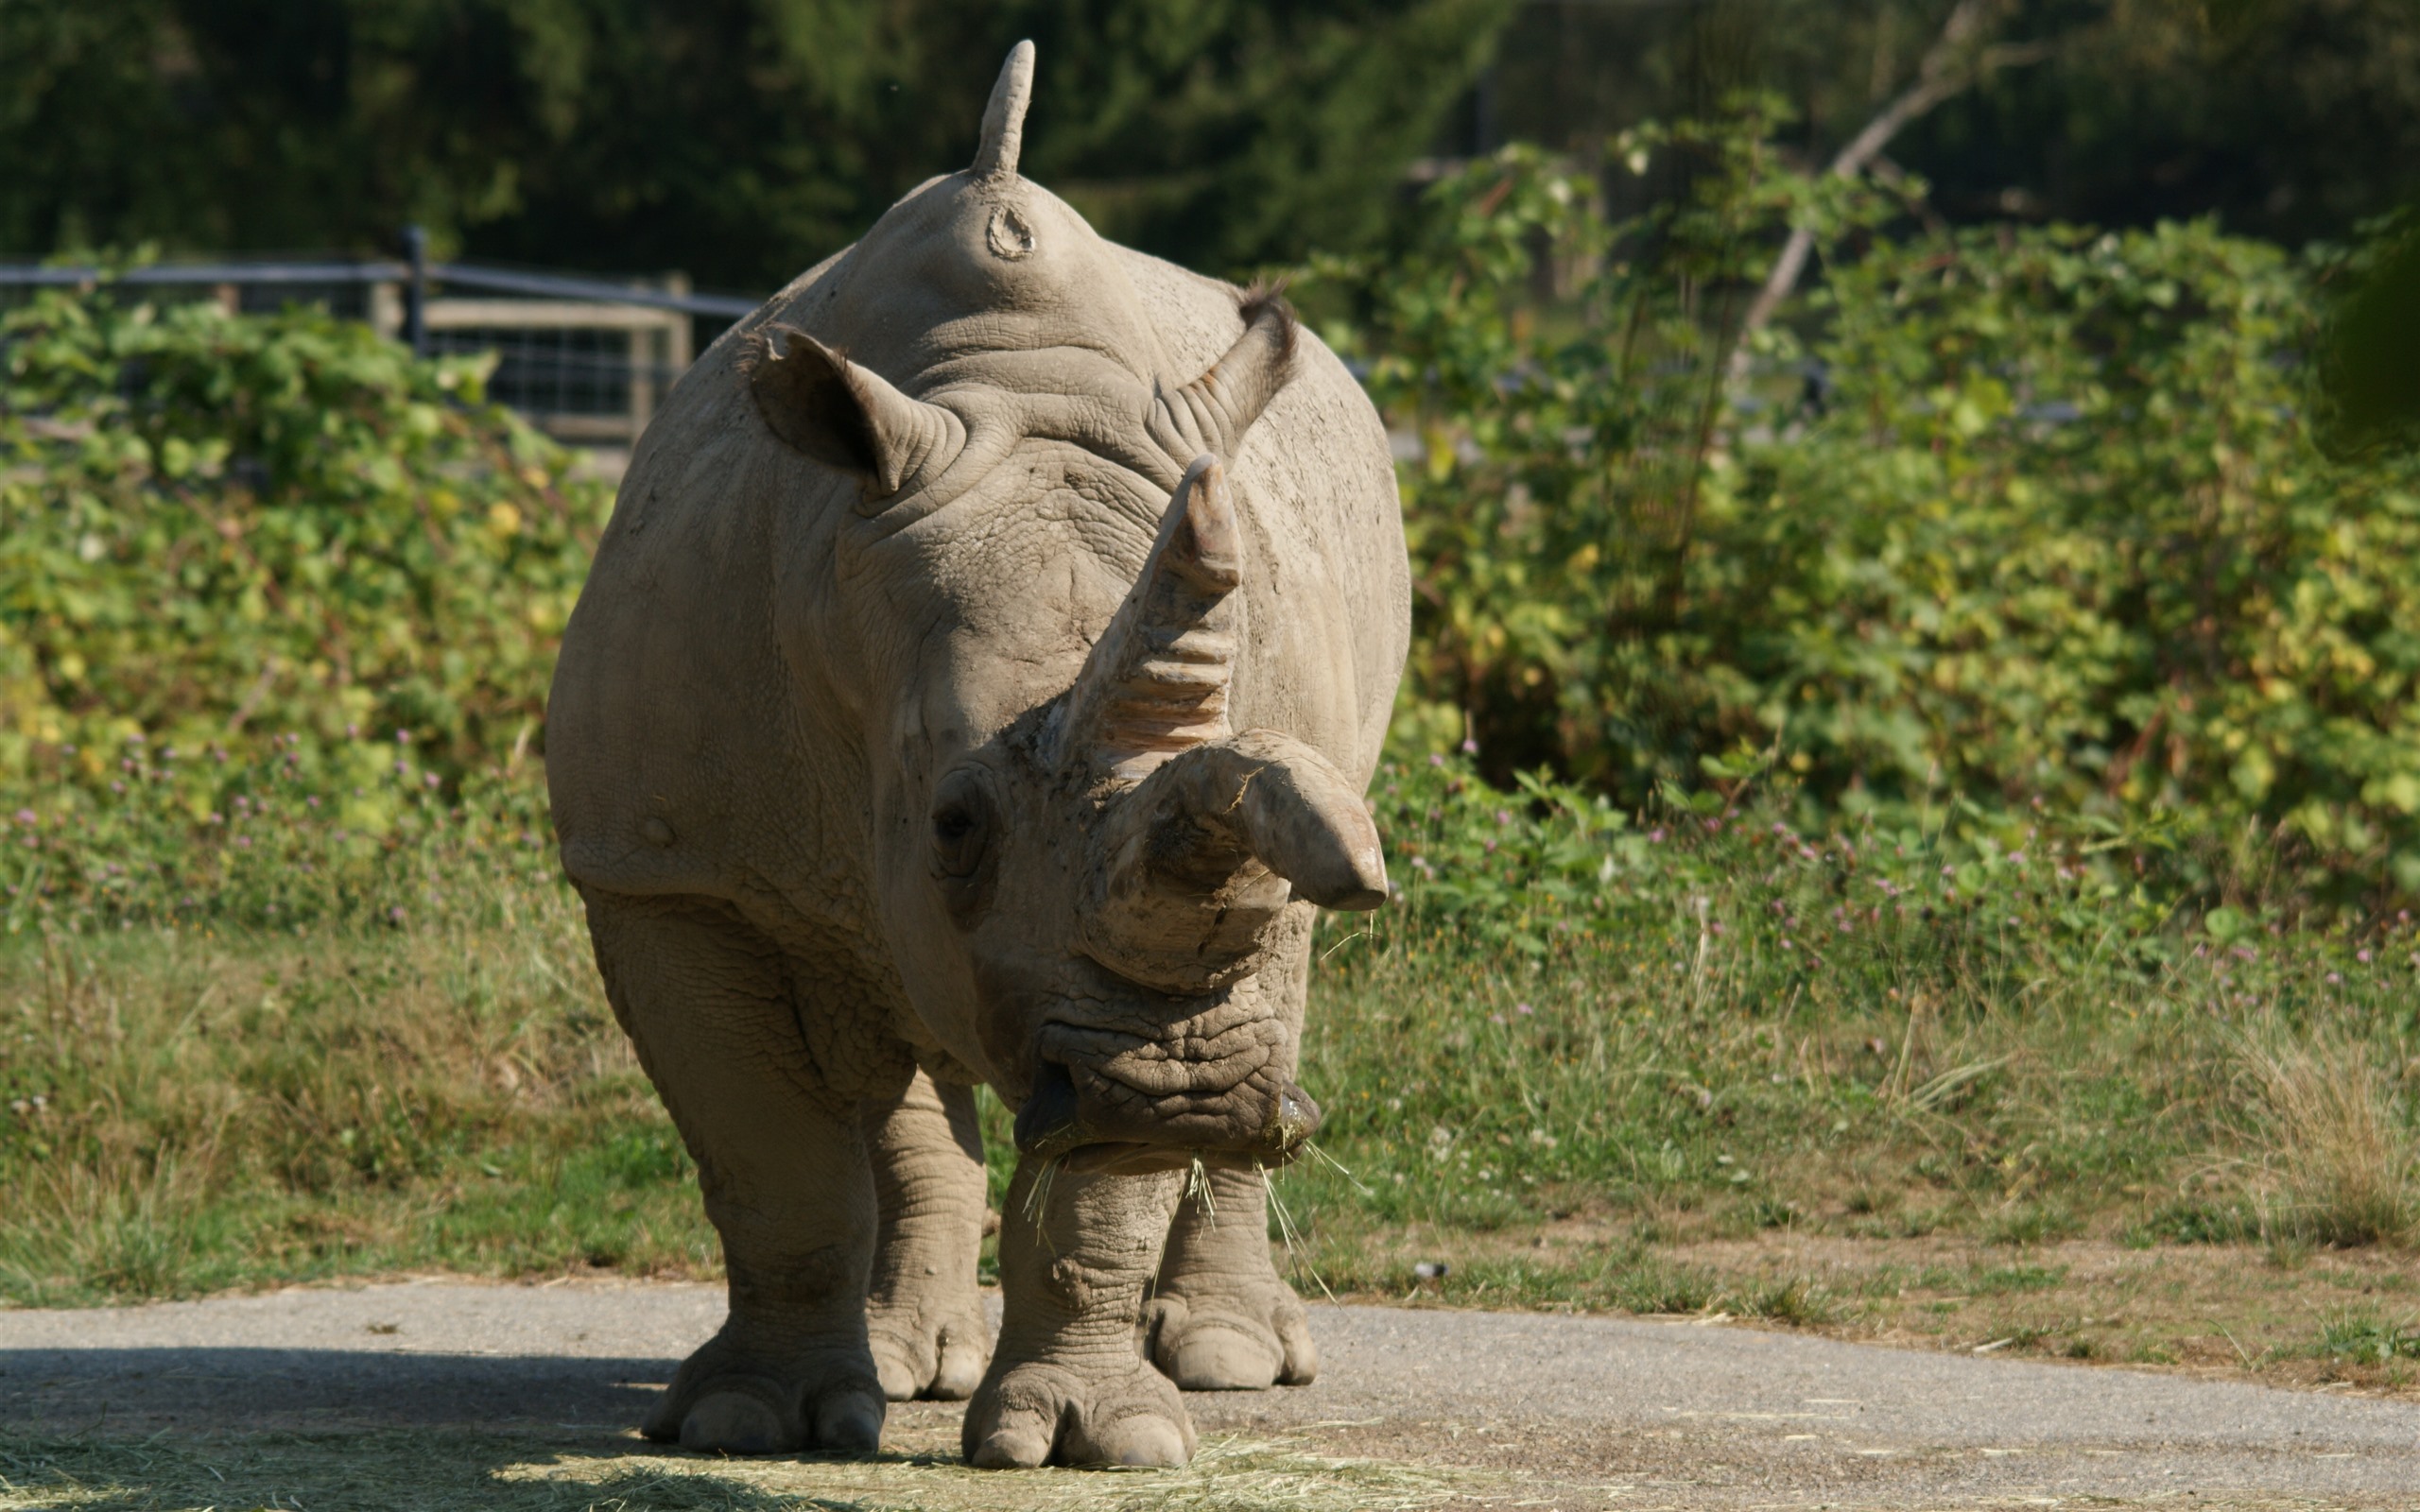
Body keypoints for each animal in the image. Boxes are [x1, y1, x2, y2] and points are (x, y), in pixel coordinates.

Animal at [547, 41, 1408, 1469]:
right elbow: (772, 1156)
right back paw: (907, 1365)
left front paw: (1097, 1441)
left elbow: (1095, 1195)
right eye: (954, 823)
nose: (1186, 1094)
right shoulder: (666, 868)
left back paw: (1227, 1360)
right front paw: (747, 1423)